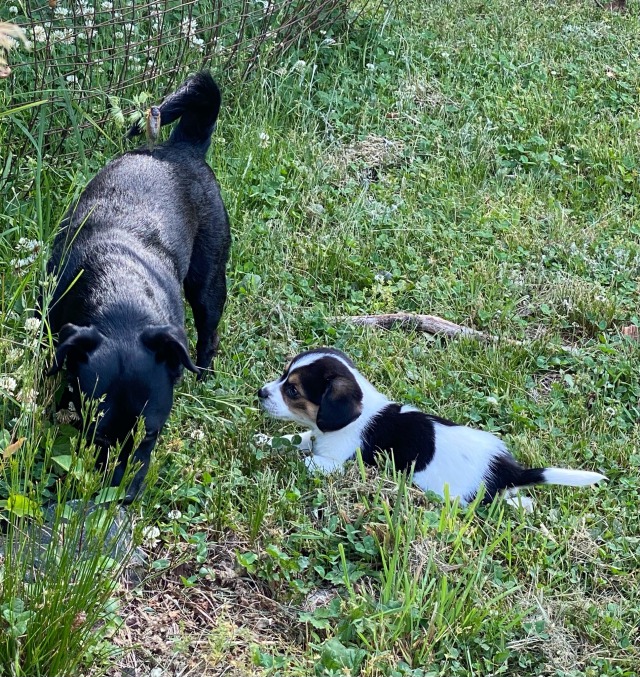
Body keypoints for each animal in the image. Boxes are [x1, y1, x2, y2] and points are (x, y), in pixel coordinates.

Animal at [45, 71, 230, 500]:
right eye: (96, 438)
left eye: (151, 437)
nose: (121, 496)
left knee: (209, 331)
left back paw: (205, 374)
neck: (120, 301)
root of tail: (182, 148)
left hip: (209, 283)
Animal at [258, 348, 608, 508]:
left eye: (292, 391)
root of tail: (505, 469)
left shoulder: (332, 462)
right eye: (283, 375)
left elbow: (305, 459)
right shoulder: (315, 435)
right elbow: (295, 437)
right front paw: (263, 440)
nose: (260, 393)